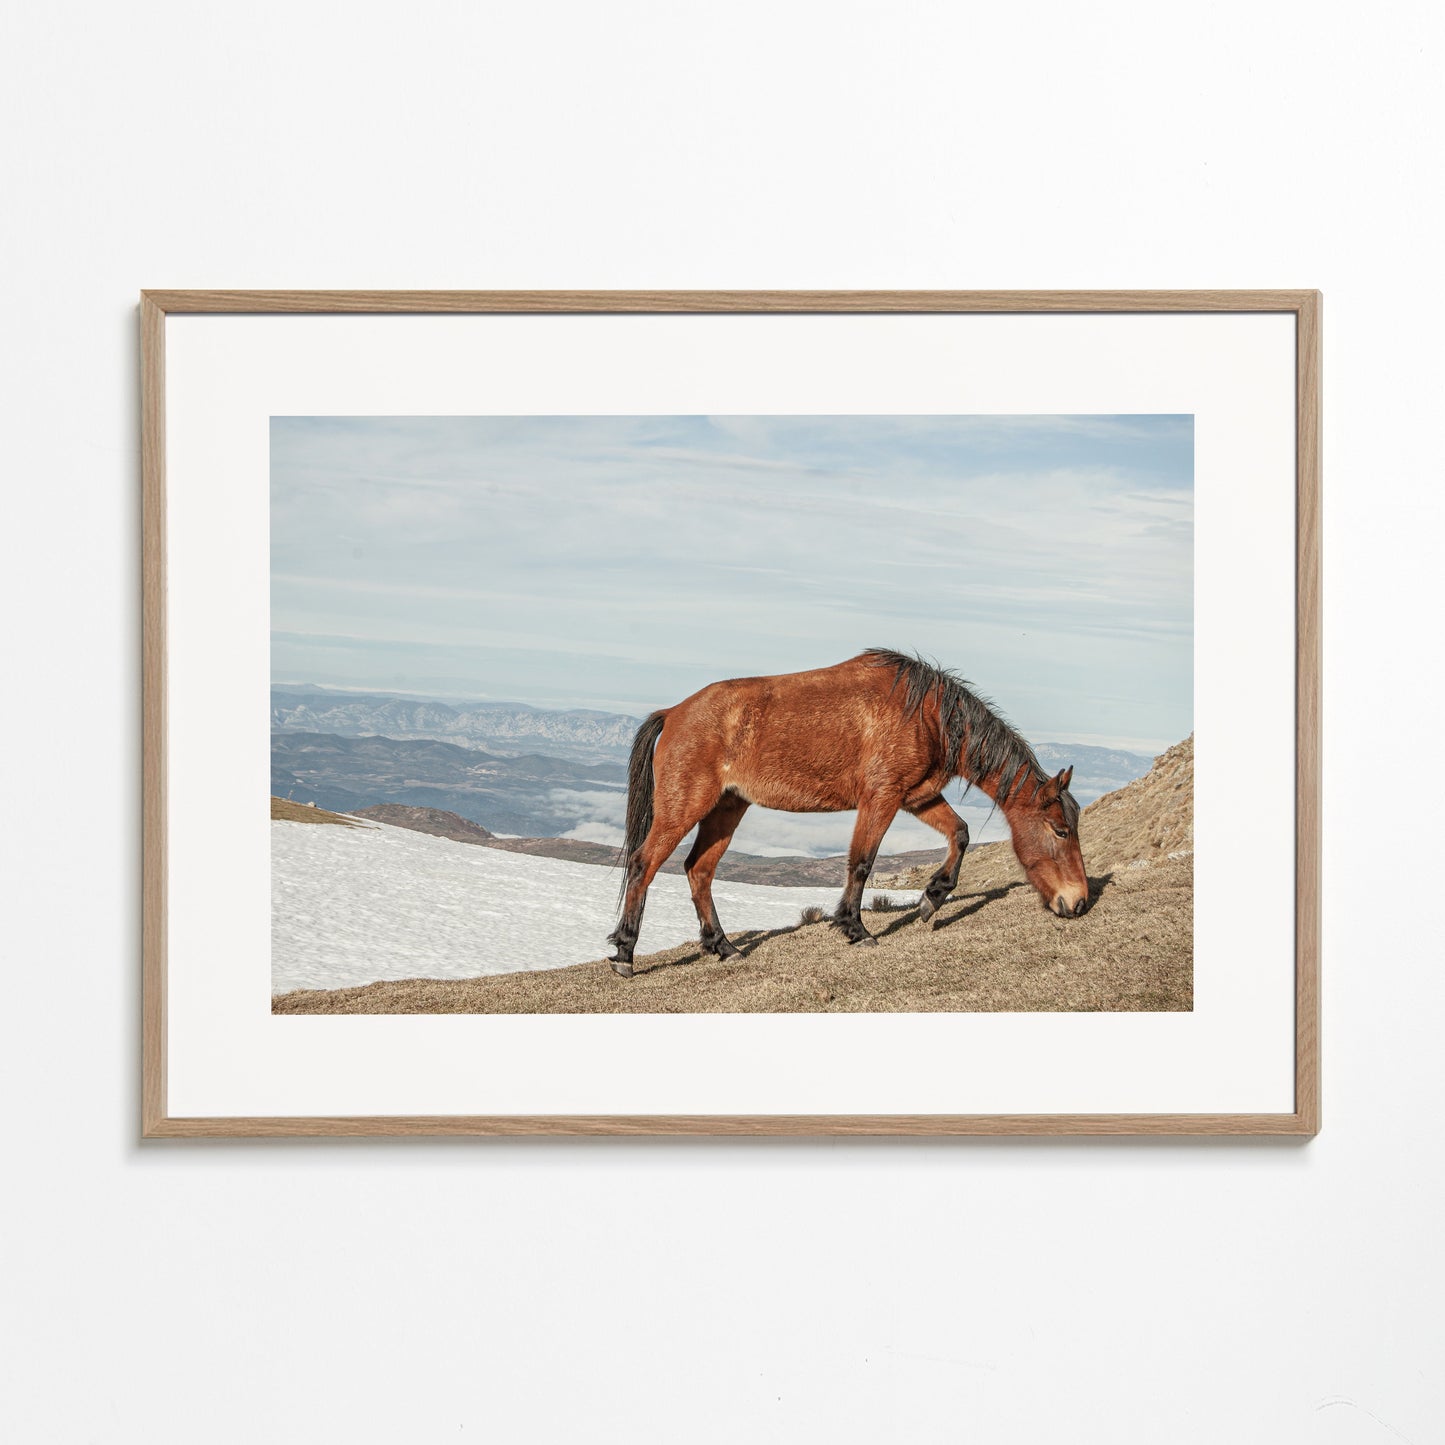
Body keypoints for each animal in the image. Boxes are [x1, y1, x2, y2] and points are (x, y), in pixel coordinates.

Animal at [606, 648, 1090, 976]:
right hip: (684, 807)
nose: (1079, 902)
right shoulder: (881, 798)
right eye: (1060, 831)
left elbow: (961, 833)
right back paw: (625, 953)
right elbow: (861, 862)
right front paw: (856, 929)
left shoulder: (917, 797)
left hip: (728, 806)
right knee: (645, 863)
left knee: (699, 869)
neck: (926, 714)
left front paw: (932, 898)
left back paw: (723, 947)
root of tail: (674, 713)